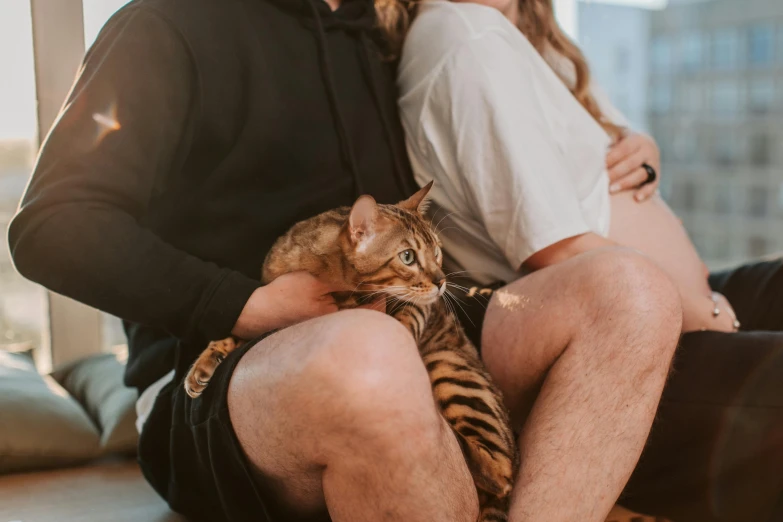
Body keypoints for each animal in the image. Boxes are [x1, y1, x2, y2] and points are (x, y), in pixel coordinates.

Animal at [185, 182, 520, 516]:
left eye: (436, 252)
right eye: (408, 257)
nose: (442, 282)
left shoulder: (418, 305)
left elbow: (407, 315)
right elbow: (235, 334)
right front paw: (204, 365)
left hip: (450, 369)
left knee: (500, 470)